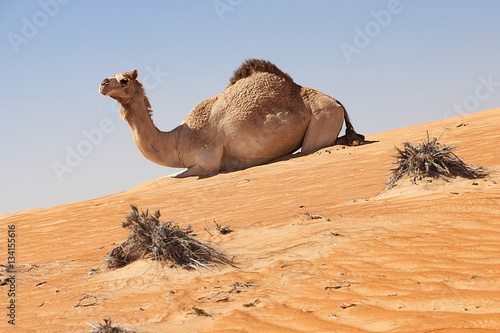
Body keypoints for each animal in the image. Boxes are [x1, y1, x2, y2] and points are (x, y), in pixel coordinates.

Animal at [99, 57, 364, 176]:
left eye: (124, 80)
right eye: (112, 76)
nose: (102, 83)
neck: (176, 140)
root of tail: (337, 101)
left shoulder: (207, 163)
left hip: (323, 119)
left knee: (315, 146)